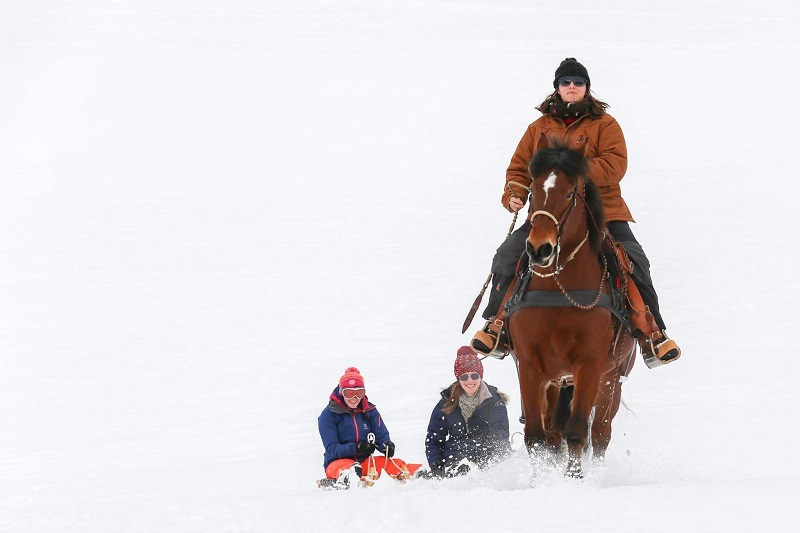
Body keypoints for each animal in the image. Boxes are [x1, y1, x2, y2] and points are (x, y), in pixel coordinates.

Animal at [506, 136, 636, 478]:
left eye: (568, 193)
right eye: (532, 191)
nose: (539, 249)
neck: (559, 294)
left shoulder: (590, 366)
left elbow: (578, 431)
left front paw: (574, 480)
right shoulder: (530, 366)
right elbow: (536, 437)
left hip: (611, 379)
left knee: (600, 433)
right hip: (557, 382)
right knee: (553, 434)